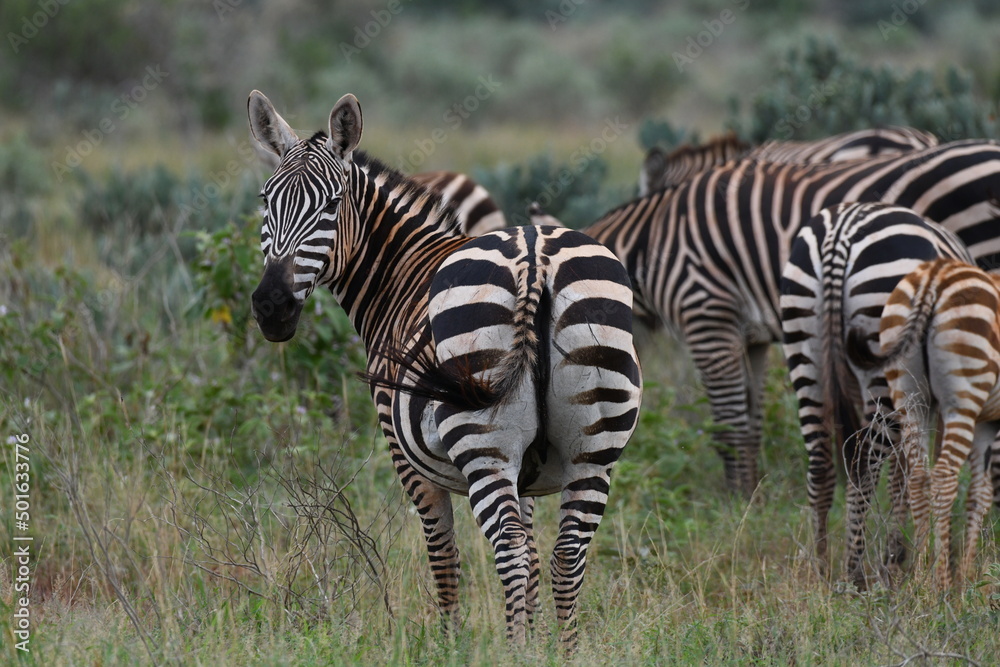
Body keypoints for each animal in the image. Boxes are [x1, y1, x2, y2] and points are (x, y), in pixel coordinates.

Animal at [246, 90, 642, 649]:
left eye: (331, 205)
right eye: (266, 201)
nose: (271, 306)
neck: (400, 274)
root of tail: (535, 256)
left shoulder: (406, 458)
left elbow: (444, 554)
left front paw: (451, 642)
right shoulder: (529, 474)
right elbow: (536, 555)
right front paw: (534, 640)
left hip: (482, 440)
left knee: (509, 550)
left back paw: (511, 653)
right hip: (595, 446)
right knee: (565, 555)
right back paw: (566, 653)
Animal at [582, 139, 1000, 503]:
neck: (652, 243)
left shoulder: (708, 316)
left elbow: (728, 423)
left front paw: (734, 501)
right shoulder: (750, 338)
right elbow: (751, 420)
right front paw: (752, 499)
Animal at [779, 202, 972, 587]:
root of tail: (839, 234)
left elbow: (904, 474)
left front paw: (898, 554)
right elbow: (913, 472)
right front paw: (903, 556)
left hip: (803, 348)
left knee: (821, 462)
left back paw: (820, 566)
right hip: (883, 359)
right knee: (862, 465)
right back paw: (854, 572)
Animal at [850, 258, 1000, 589]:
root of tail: (935, 274)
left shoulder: (986, 423)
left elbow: (979, 494)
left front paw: (969, 574)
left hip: (910, 400)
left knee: (918, 477)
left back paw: (921, 575)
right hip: (962, 398)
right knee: (943, 477)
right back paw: (940, 582)